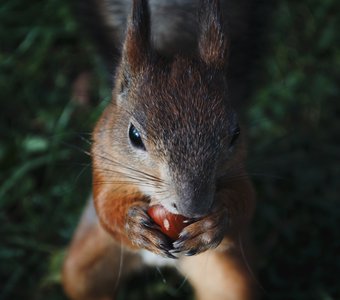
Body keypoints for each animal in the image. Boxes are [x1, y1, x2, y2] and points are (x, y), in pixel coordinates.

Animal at [62, 0, 256, 300]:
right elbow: (106, 207)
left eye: (235, 134)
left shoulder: (238, 170)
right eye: (134, 136)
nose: (193, 208)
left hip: (228, 280)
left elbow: (245, 204)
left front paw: (214, 223)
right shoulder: (104, 163)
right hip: (85, 269)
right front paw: (132, 225)